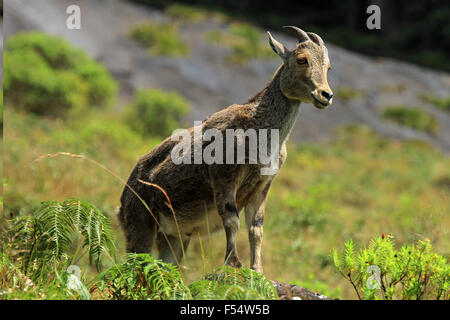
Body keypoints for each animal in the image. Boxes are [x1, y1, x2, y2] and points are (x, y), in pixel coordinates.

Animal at [118, 26, 332, 272]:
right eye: (301, 59)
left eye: (328, 66)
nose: (325, 95)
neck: (260, 132)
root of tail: (122, 198)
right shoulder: (224, 178)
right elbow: (231, 220)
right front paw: (233, 262)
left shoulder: (262, 186)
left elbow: (256, 228)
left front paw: (257, 269)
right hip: (140, 223)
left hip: (175, 236)